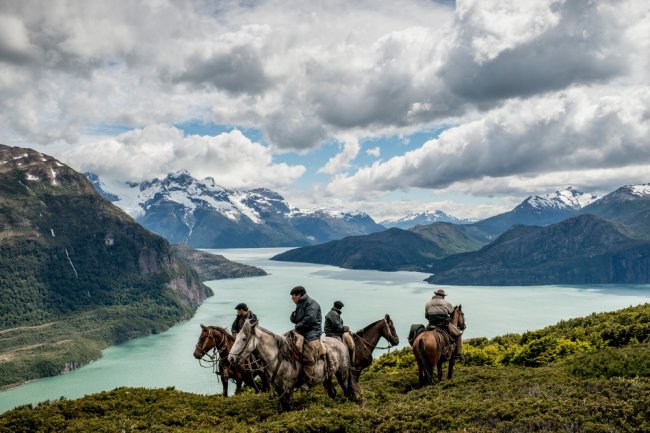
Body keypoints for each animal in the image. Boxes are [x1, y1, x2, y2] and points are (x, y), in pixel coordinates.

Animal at [227, 318, 360, 410]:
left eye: (244, 338)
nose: (231, 359)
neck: (278, 357)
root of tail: (340, 343)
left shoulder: (287, 388)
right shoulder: (279, 389)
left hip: (342, 374)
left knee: (347, 391)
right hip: (328, 377)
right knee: (332, 393)